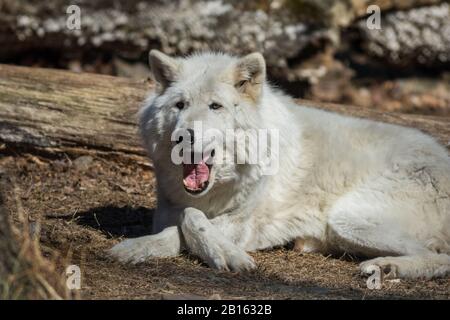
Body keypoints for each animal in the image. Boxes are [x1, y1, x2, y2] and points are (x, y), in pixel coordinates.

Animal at [110, 50, 450, 280]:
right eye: (180, 105)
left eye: (215, 106)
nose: (183, 135)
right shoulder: (168, 210)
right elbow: (179, 222)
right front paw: (138, 248)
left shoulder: (243, 223)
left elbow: (189, 219)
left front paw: (229, 257)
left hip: (347, 218)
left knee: (439, 256)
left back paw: (385, 267)